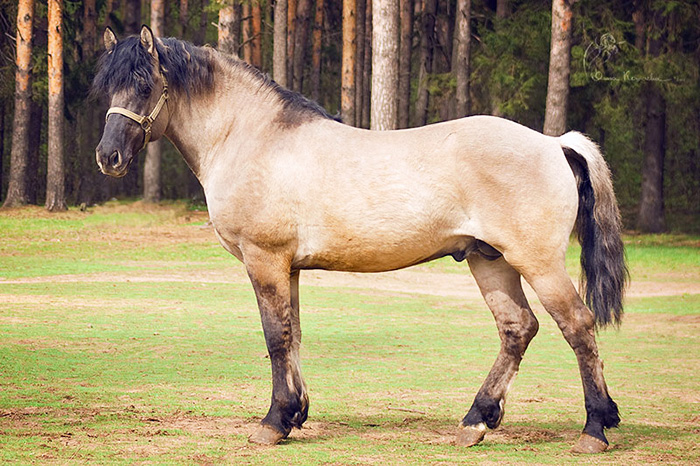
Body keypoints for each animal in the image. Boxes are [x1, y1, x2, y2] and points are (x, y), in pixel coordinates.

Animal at [94, 26, 628, 456]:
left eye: (145, 85)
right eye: (109, 87)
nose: (108, 157)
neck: (254, 139)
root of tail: (554, 143)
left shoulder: (264, 260)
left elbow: (274, 336)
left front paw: (272, 423)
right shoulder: (288, 267)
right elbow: (294, 334)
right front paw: (295, 415)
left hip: (537, 262)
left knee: (578, 326)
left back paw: (594, 430)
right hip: (489, 260)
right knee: (517, 329)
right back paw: (476, 422)